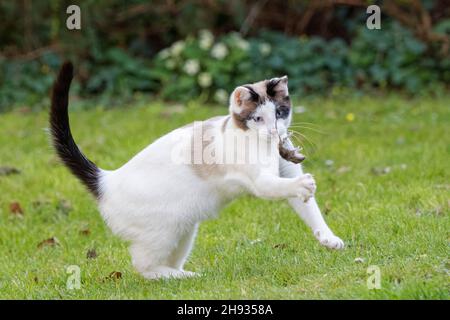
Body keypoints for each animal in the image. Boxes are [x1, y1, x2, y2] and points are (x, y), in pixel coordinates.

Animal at [50, 61, 344, 278]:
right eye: (258, 118)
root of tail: (106, 180)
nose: (274, 132)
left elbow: (311, 211)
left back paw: (182, 274)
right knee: (143, 267)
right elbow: (284, 187)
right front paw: (306, 185)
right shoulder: (261, 181)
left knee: (164, 260)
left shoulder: (286, 171)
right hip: (165, 231)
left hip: (185, 229)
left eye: (280, 114)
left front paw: (328, 239)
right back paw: (183, 277)